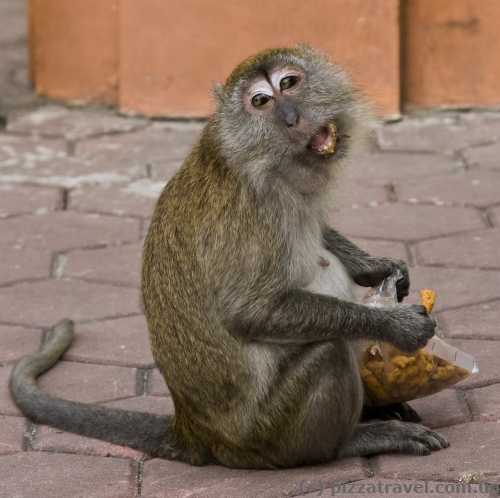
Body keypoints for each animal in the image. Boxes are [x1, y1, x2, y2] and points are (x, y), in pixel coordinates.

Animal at [9, 44, 448, 468]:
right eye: (261, 101)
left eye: (289, 83)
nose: (292, 118)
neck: (263, 155)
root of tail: (196, 432)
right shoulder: (255, 211)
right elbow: (247, 311)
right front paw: (395, 326)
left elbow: (316, 228)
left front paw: (377, 268)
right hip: (269, 435)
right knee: (331, 351)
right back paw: (351, 441)